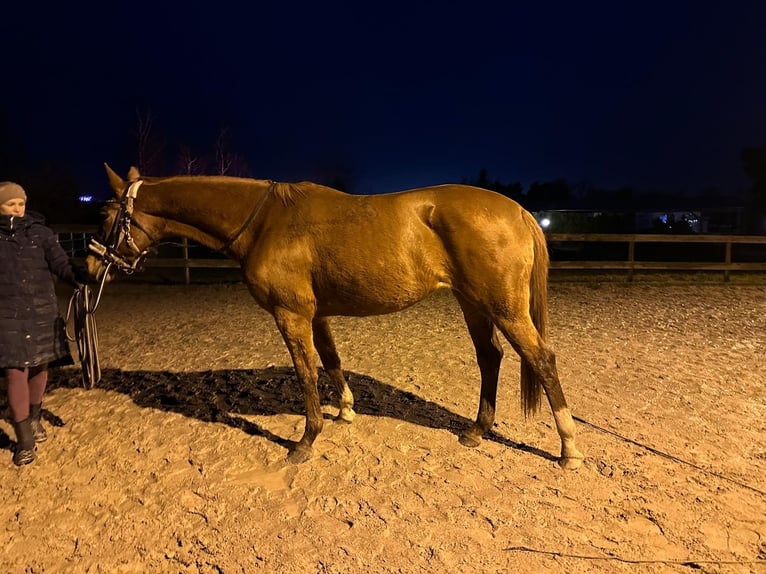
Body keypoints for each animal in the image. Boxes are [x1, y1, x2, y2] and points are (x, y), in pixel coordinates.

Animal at [85, 164, 588, 470]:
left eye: (106, 216)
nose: (88, 268)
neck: (266, 222)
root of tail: (518, 211)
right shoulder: (317, 313)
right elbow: (331, 362)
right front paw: (345, 410)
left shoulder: (290, 314)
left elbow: (306, 373)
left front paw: (306, 440)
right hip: (473, 303)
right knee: (490, 357)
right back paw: (477, 430)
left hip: (503, 307)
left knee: (541, 359)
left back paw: (569, 448)